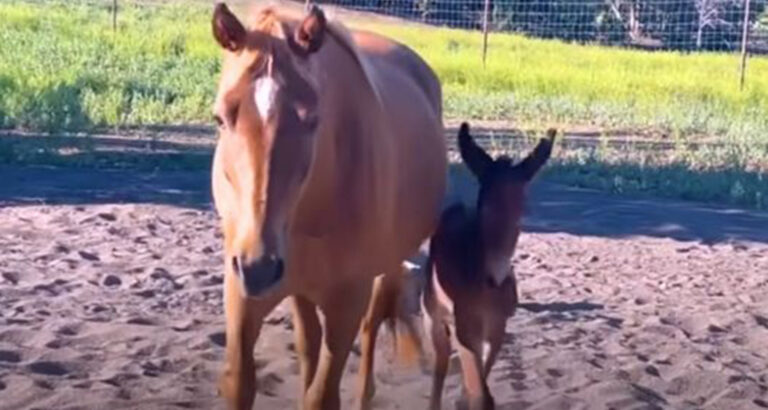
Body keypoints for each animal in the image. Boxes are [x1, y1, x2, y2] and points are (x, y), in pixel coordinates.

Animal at [210, 1, 448, 408]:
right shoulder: (241, 292)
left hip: (385, 267)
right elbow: (241, 381)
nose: (260, 268)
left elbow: (322, 394)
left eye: (311, 120)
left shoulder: (346, 302)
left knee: (371, 326)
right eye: (220, 118)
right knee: (309, 342)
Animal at [424, 123, 556, 408]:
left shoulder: (496, 329)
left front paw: (463, 399)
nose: (496, 275)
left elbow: (480, 385)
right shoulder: (465, 330)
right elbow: (481, 393)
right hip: (435, 318)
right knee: (439, 368)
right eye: (484, 207)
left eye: (521, 211)